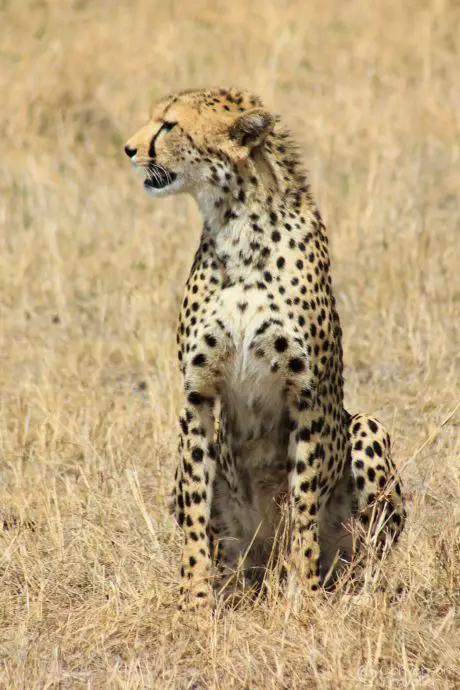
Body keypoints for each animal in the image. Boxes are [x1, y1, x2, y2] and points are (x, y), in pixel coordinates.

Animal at [124, 88, 404, 612]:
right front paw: (194, 599)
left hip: (365, 427)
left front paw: (304, 599)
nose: (129, 149)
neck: (239, 229)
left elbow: (305, 505)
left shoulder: (308, 394)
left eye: (169, 124)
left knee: (367, 555)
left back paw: (358, 593)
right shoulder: (197, 395)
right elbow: (195, 505)